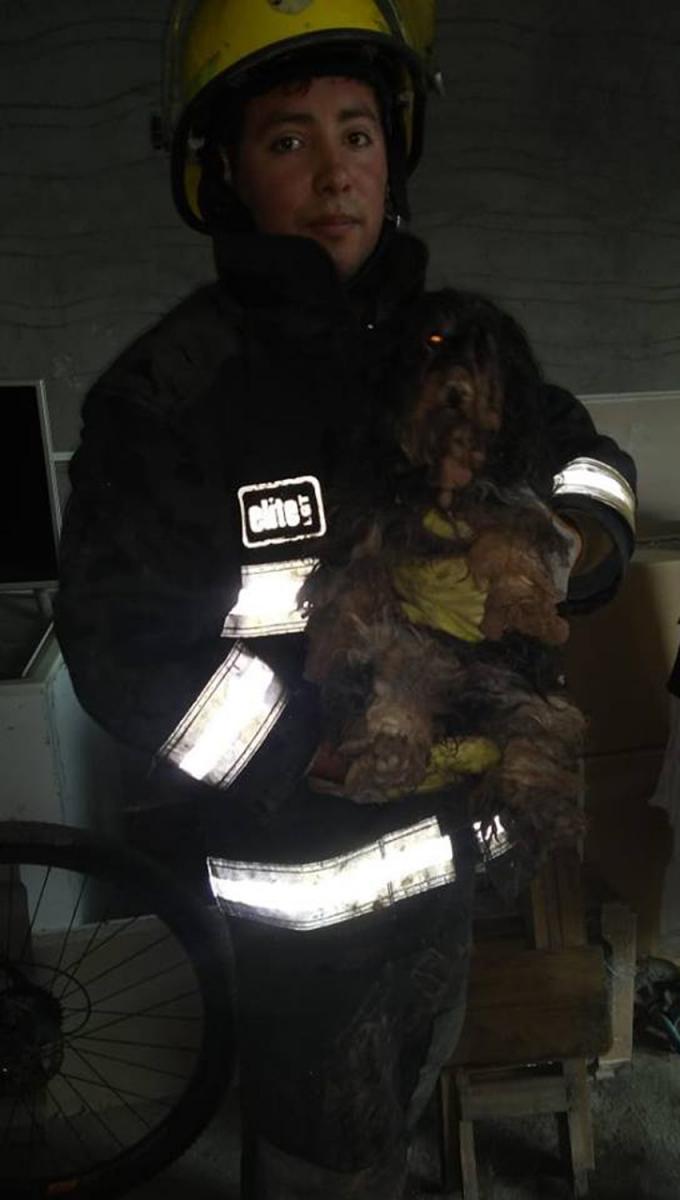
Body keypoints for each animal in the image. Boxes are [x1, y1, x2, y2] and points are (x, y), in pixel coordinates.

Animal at [301, 290, 587, 854]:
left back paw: (550, 804)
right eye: (432, 339)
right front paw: (328, 643)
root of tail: (463, 690)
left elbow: (511, 551)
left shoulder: (510, 506)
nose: (456, 390)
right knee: (399, 688)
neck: (445, 473)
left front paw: (524, 606)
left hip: (516, 683)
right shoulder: (368, 528)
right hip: (419, 654)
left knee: (541, 726)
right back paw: (388, 757)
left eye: (485, 351)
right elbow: (353, 588)